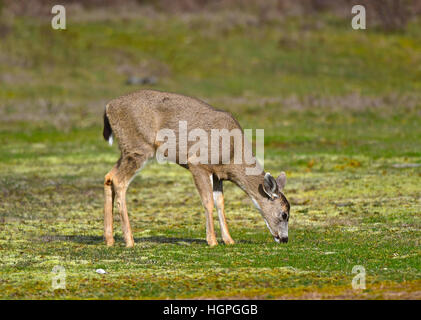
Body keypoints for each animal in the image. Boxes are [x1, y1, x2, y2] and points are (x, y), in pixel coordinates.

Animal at [103, 89, 290, 248]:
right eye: (284, 214)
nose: (285, 239)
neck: (232, 154)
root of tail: (108, 107)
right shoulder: (198, 163)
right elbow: (208, 201)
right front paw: (212, 241)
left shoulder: (218, 174)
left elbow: (220, 203)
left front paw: (229, 240)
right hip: (139, 147)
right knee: (119, 181)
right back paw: (129, 241)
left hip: (127, 150)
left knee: (109, 177)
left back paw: (110, 239)